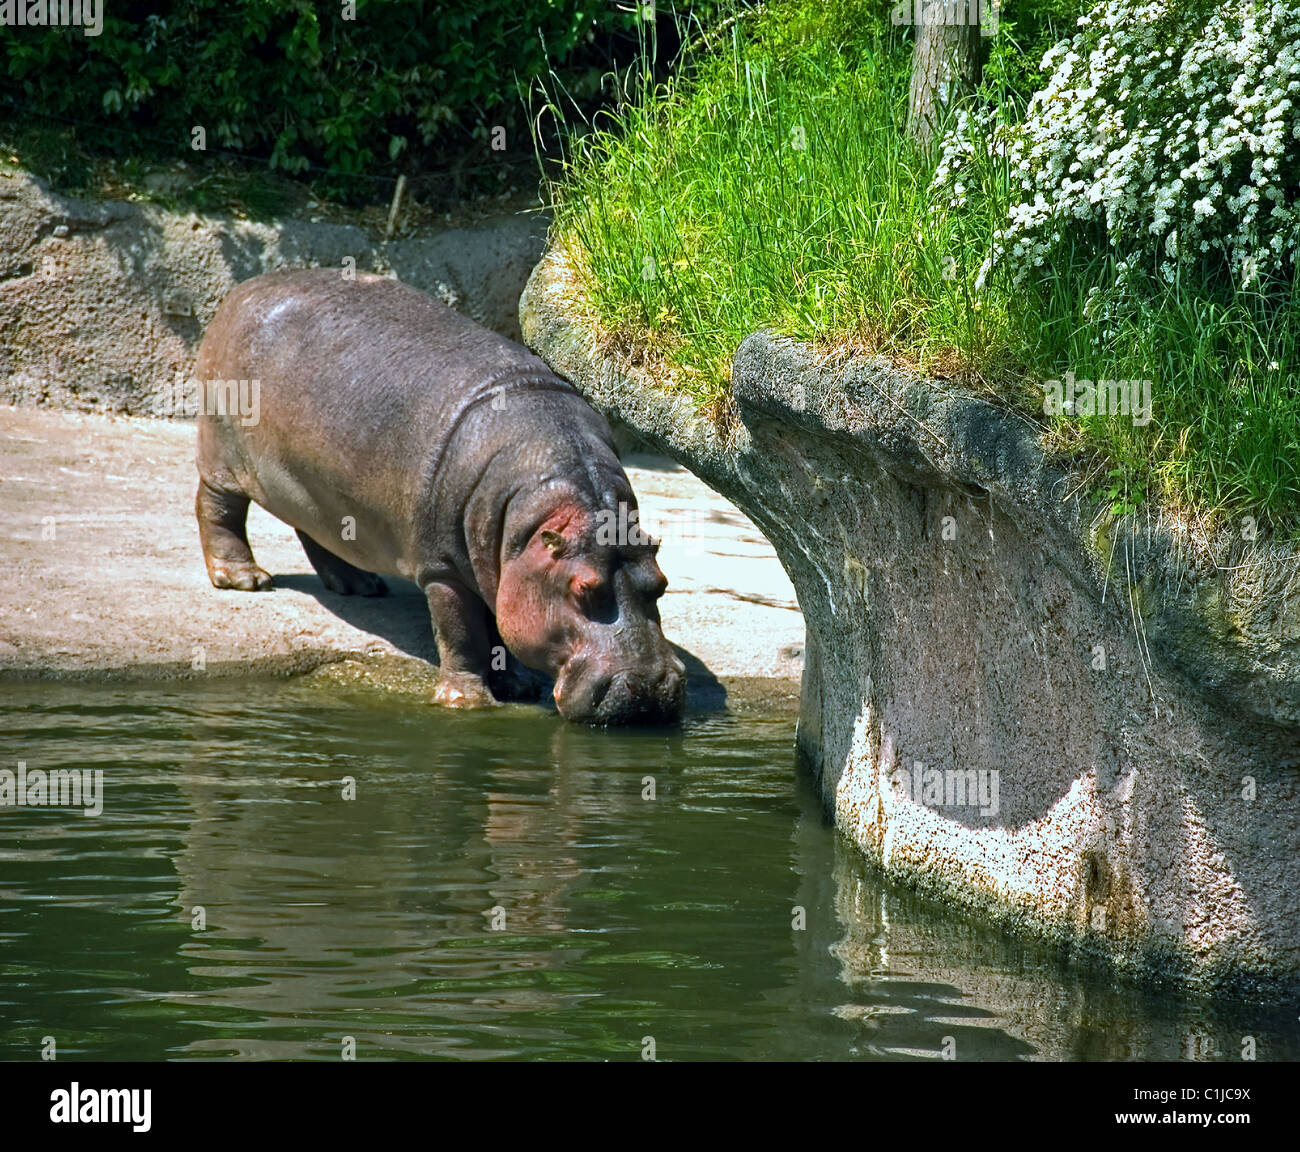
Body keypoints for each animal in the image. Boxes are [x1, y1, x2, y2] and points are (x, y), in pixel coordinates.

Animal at [193, 268, 685, 725]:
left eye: (661, 584)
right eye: (582, 589)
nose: (651, 689)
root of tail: (244, 289)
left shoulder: (498, 565)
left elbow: (495, 624)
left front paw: (517, 685)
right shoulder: (443, 568)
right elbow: (462, 632)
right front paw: (466, 701)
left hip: (317, 485)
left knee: (316, 531)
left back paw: (360, 585)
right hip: (222, 453)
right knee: (217, 508)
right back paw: (244, 579)